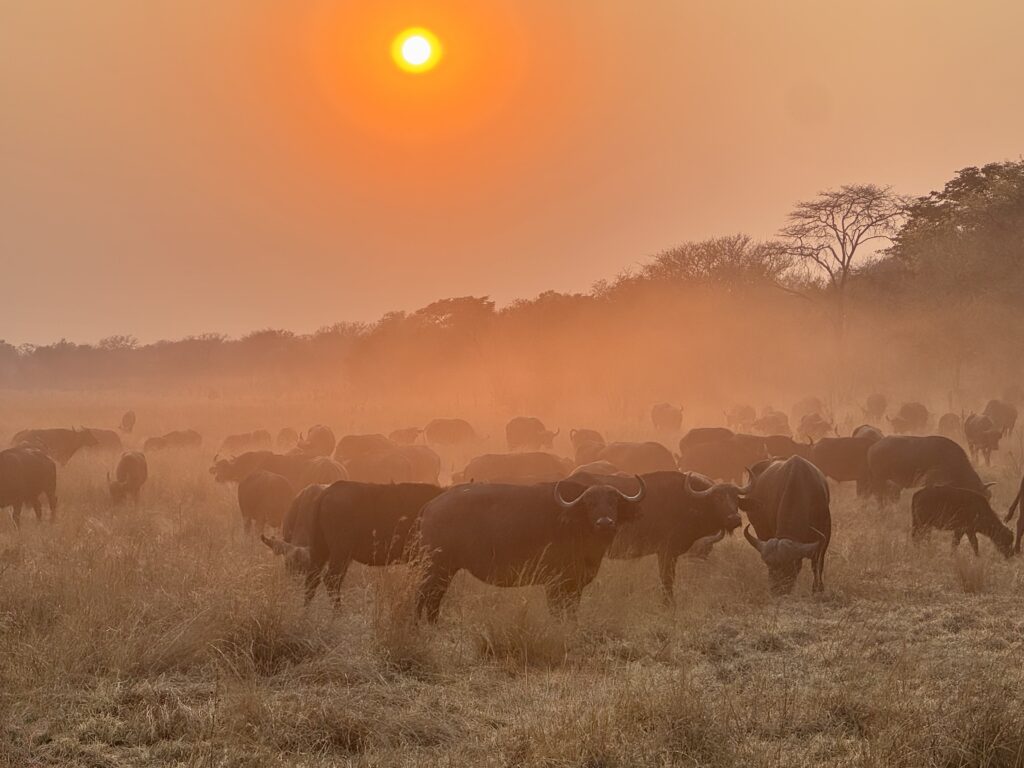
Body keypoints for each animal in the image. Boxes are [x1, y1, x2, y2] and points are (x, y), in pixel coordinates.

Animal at [415, 476, 645, 621]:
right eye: (590, 503)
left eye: (614, 502)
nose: (604, 523)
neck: (574, 525)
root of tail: (431, 506)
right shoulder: (554, 584)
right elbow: (557, 613)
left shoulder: (574, 586)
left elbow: (572, 613)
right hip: (435, 567)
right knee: (422, 595)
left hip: (445, 570)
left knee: (434, 598)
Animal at [742, 455, 831, 594]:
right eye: (769, 565)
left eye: (790, 566)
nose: (777, 591)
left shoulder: (826, 530)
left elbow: (817, 562)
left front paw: (818, 589)